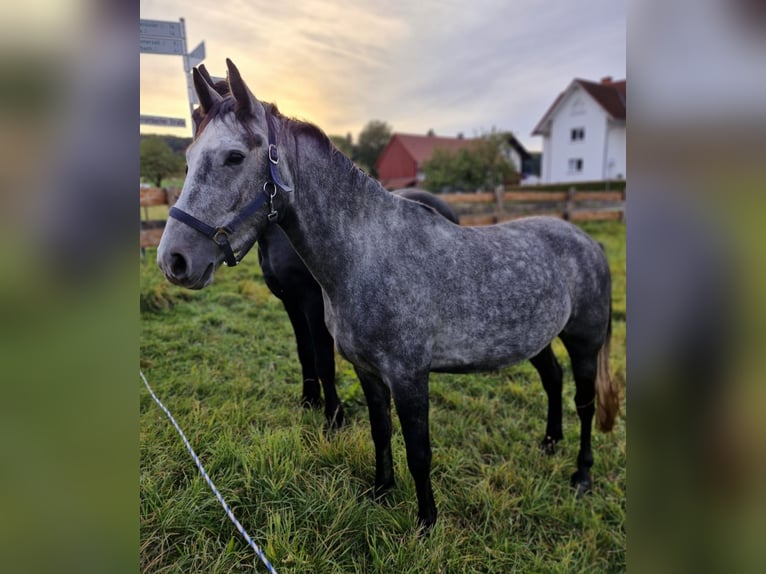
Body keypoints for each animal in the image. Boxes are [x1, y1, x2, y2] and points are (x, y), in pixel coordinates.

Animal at [192, 64, 460, 432]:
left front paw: (333, 416)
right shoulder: (289, 301)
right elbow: (304, 352)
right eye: (195, 118)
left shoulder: (312, 303)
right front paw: (309, 401)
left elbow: (322, 359)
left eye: (234, 155)